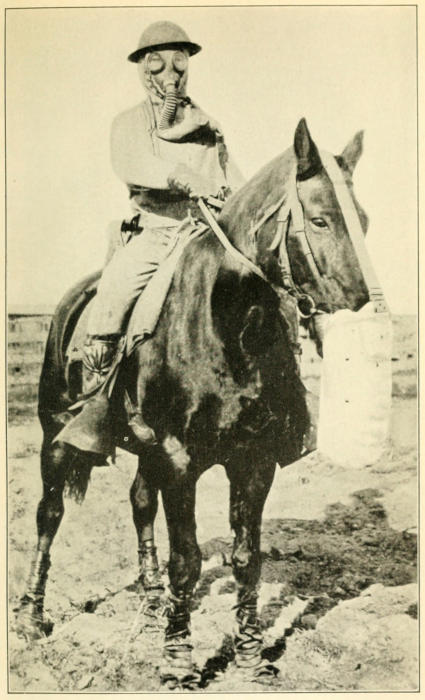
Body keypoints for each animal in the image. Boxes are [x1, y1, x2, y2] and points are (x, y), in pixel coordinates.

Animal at [15, 118, 369, 687]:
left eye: (365, 221)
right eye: (319, 219)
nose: (362, 305)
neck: (227, 328)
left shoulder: (253, 460)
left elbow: (246, 558)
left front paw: (248, 654)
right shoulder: (179, 461)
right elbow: (187, 560)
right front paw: (178, 660)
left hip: (143, 451)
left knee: (139, 502)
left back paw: (150, 600)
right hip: (55, 435)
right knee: (49, 515)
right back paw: (31, 616)